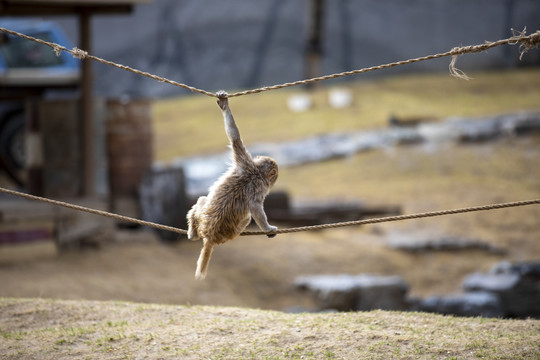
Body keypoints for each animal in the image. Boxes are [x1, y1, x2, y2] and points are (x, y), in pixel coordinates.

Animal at [186, 90, 278, 282]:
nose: (275, 180)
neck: (256, 171)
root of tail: (210, 236)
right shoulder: (260, 184)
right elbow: (255, 207)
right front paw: (268, 228)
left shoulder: (243, 161)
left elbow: (234, 137)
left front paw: (224, 105)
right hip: (231, 231)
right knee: (247, 218)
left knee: (202, 200)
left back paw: (192, 231)